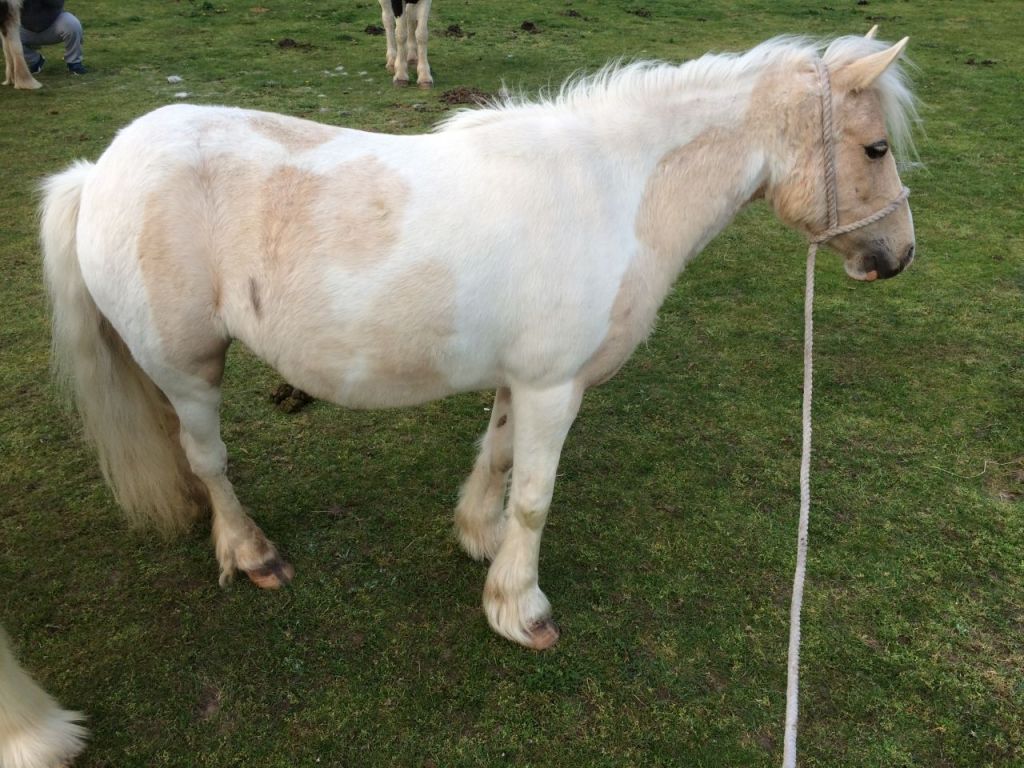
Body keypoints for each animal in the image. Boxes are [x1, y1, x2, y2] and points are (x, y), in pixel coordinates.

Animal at [44, 34, 917, 651]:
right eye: (875, 148)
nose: (898, 256)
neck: (611, 189)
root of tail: (100, 170)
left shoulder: (521, 382)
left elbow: (497, 459)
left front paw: (479, 539)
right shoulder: (555, 387)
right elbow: (535, 496)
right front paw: (519, 607)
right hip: (190, 367)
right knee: (208, 459)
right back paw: (250, 551)